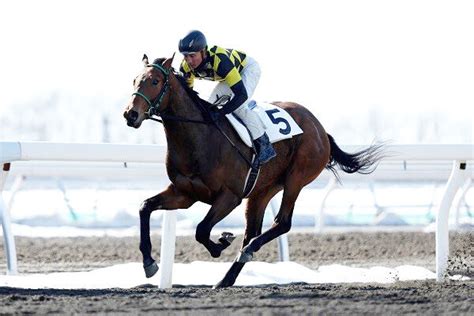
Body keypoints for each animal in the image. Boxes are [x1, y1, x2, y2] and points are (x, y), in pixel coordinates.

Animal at [123, 55, 386, 288]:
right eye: (134, 80)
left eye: (155, 81)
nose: (130, 114)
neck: (199, 138)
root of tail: (320, 128)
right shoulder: (184, 193)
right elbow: (145, 207)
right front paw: (149, 262)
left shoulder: (230, 196)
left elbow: (201, 230)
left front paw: (220, 244)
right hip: (263, 190)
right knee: (252, 231)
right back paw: (226, 278)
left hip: (296, 178)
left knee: (281, 223)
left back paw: (247, 252)